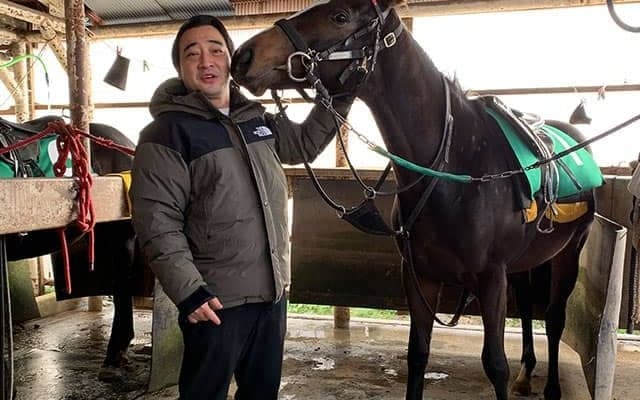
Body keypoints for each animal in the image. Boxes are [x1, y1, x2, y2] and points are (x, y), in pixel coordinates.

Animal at [230, 1, 598, 399]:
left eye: (340, 16)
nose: (244, 55)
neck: (458, 168)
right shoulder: (420, 276)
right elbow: (418, 354)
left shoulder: (491, 279)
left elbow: (495, 363)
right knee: (530, 308)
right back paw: (527, 372)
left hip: (568, 253)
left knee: (555, 318)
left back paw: (551, 387)